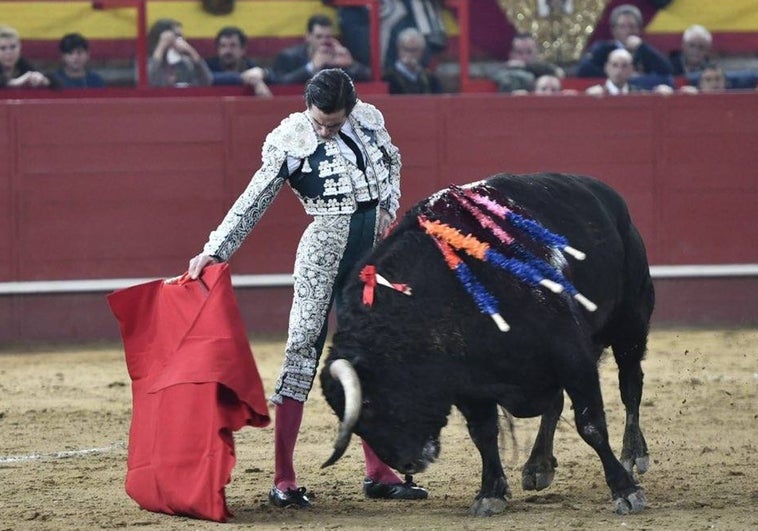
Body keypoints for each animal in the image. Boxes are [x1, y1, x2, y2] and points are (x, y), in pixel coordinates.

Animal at [318, 174, 656, 516]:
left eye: (370, 404)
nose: (408, 465)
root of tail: (607, 195)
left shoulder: (573, 356)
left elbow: (591, 425)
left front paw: (625, 491)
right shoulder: (470, 383)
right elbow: (483, 435)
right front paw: (490, 493)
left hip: (630, 325)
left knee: (630, 385)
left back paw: (633, 454)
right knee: (555, 403)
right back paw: (538, 465)